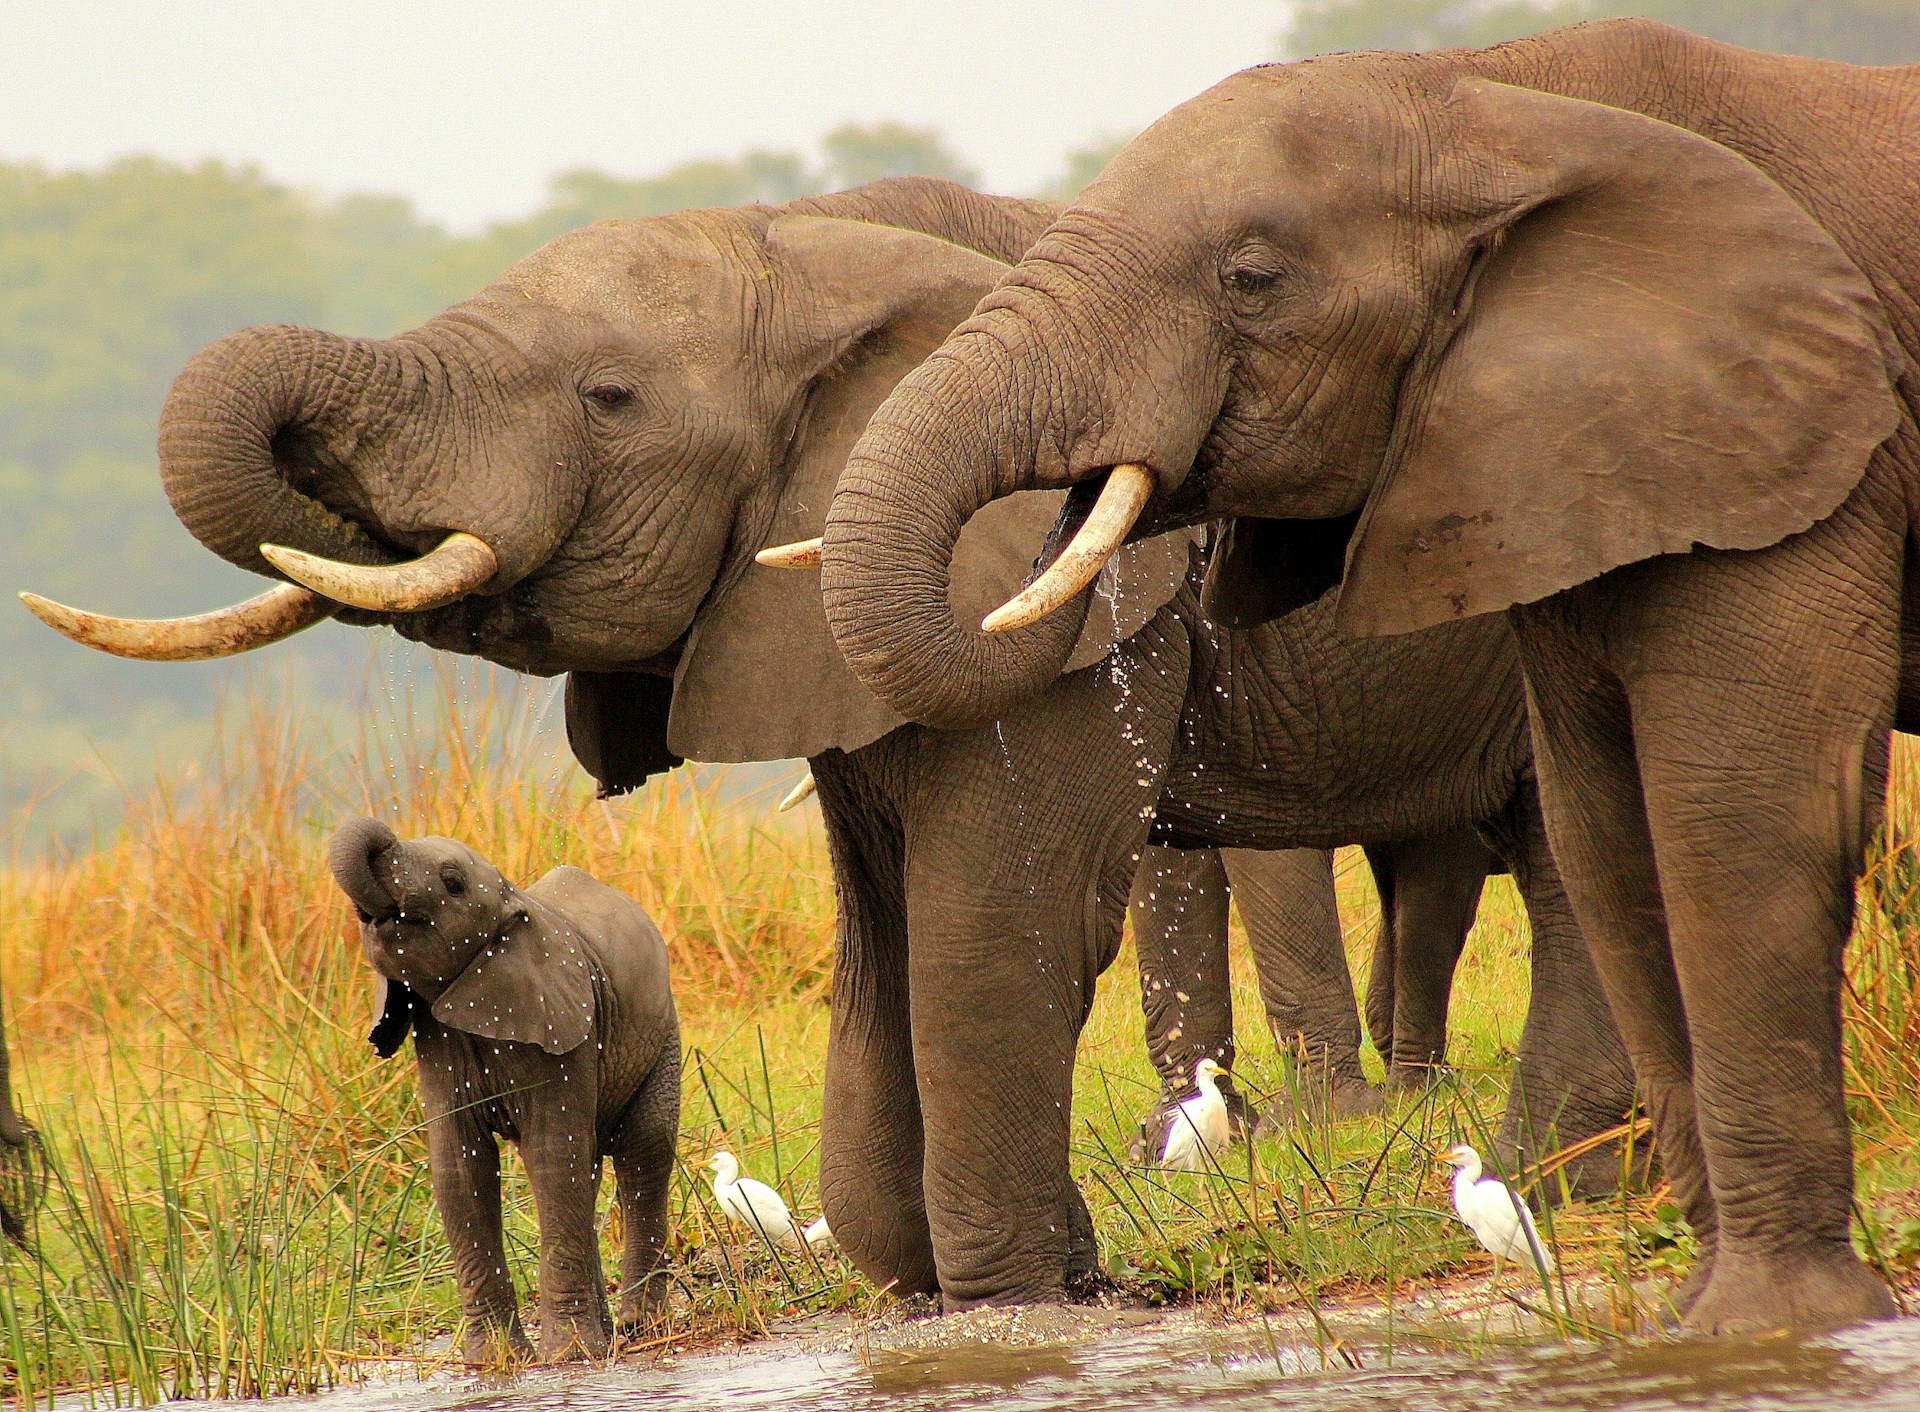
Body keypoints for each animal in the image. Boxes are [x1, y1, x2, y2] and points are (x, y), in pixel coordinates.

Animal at [330, 822, 683, 1367]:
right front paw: (495, 1362)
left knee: (644, 1149)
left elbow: (553, 1158)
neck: (511, 896)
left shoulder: (563, 1027)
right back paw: (608, 1331)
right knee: (591, 1168)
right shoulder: (437, 1043)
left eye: (452, 882)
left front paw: (568, 1357)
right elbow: (460, 1169)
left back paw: (636, 1325)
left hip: (662, 1036)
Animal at [817, 19, 1912, 1337]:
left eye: (1251, 279)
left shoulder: (1779, 431)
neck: (1492, 95)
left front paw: (1768, 1324)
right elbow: (1610, 824)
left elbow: (1737, 809)